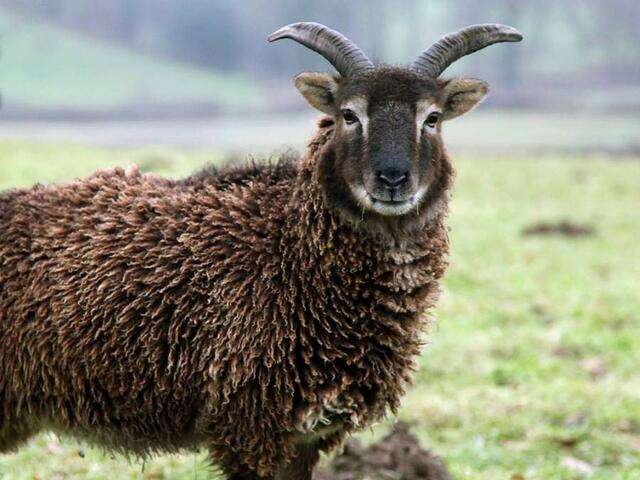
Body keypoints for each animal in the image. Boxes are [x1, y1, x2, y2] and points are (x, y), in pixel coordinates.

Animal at [0, 21, 520, 480]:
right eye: (349, 114)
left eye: (432, 118)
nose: (392, 180)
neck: (287, 251)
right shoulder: (249, 425)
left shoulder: (307, 434)